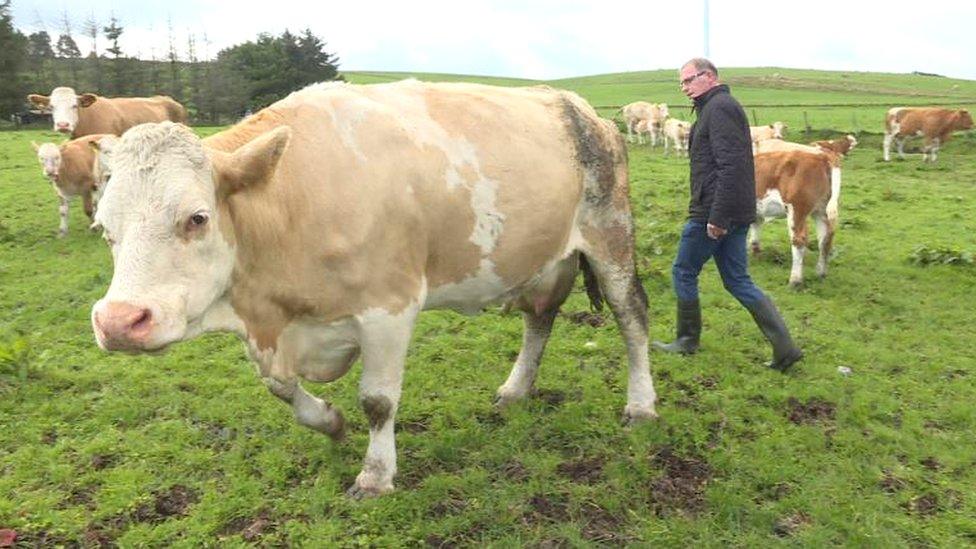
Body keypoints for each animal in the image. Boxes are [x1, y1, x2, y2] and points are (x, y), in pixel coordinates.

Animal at [752, 150, 844, 286]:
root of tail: (821, 156)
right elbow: (754, 234)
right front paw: (756, 256)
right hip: (820, 210)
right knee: (825, 239)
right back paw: (821, 273)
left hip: (796, 209)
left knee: (799, 241)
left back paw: (795, 280)